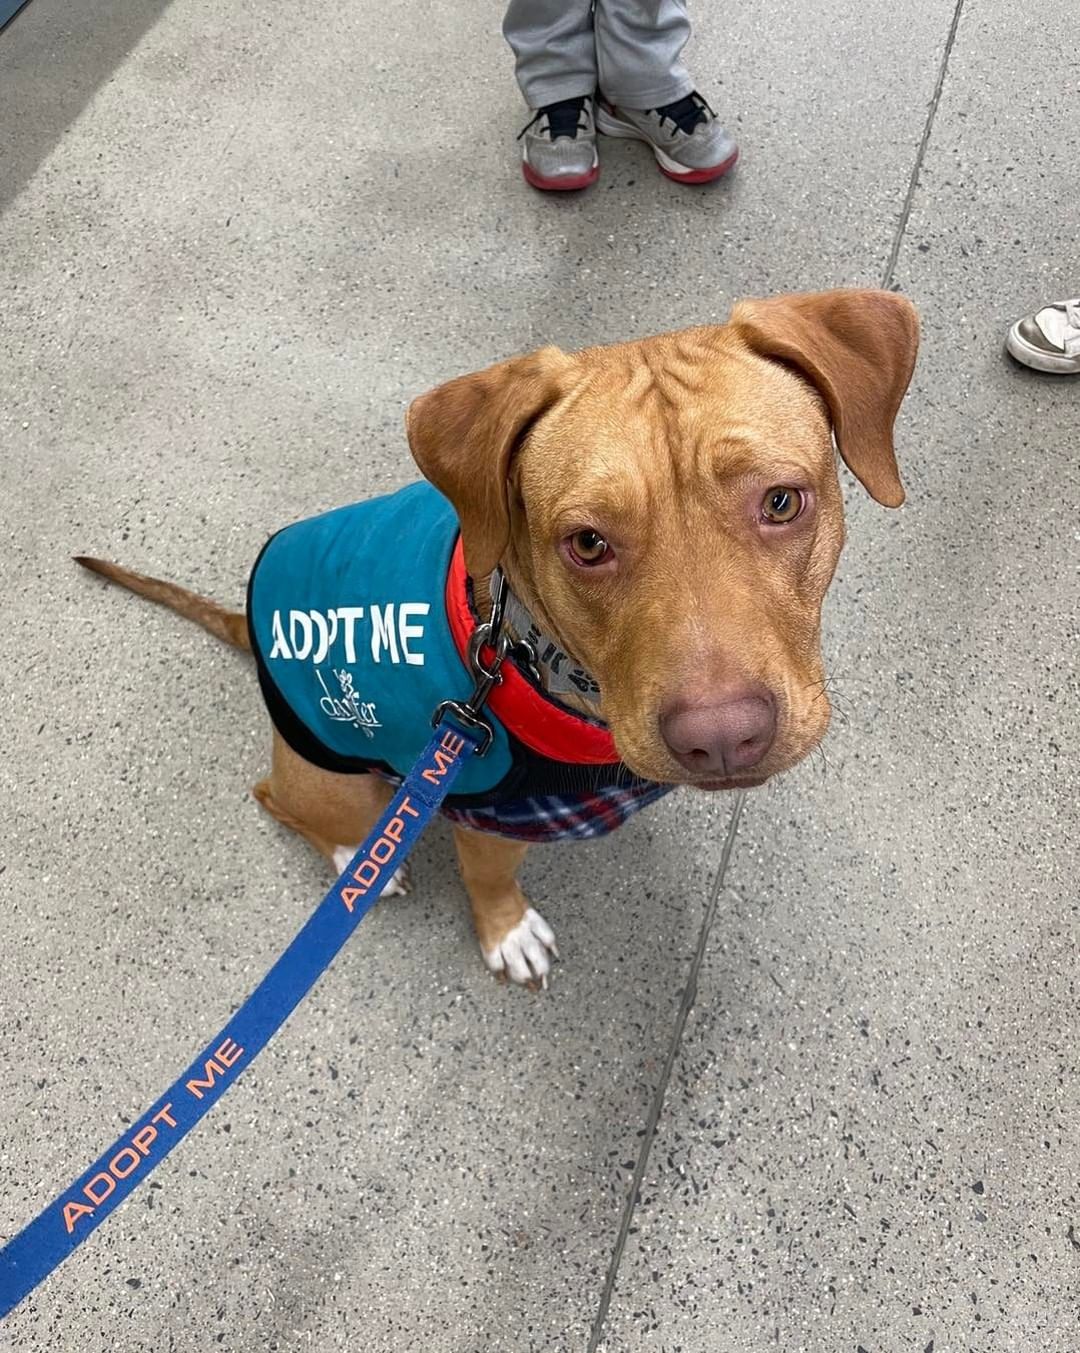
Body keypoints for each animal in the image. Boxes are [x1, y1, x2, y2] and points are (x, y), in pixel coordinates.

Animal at [80, 288, 920, 984]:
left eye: (781, 501)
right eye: (587, 543)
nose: (721, 740)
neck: (536, 651)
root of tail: (251, 628)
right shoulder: (481, 811)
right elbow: (489, 877)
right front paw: (506, 933)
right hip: (334, 778)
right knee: (280, 801)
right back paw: (362, 861)